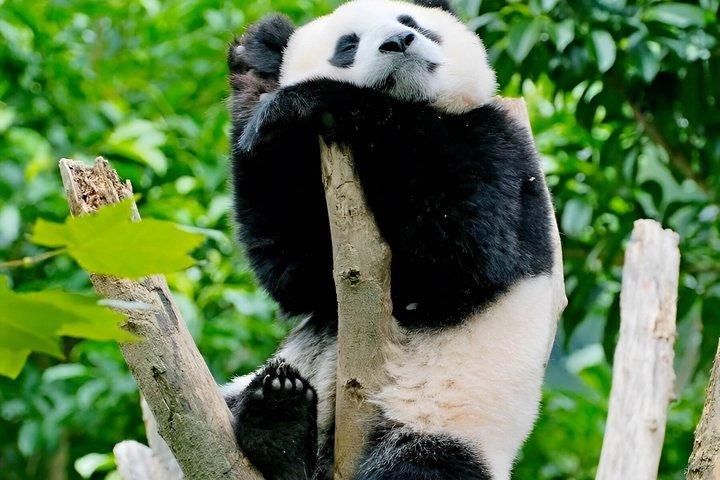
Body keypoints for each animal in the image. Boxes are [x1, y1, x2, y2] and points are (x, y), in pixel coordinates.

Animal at [222, 0, 566, 479]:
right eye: (347, 45)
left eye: (411, 21)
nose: (399, 42)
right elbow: (297, 274)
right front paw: (254, 67)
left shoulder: (499, 149)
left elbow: (464, 253)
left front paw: (311, 101)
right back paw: (276, 420)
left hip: (445, 422)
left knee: (419, 464)